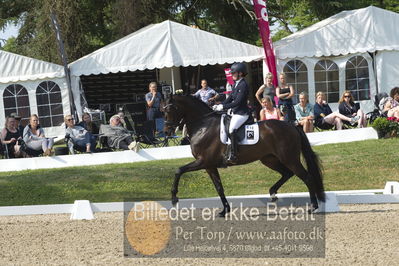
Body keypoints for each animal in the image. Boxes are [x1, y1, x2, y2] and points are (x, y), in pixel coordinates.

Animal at [164, 95, 326, 216]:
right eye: (162, 110)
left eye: (170, 109)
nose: (167, 132)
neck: (204, 125)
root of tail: (292, 125)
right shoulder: (209, 166)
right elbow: (219, 187)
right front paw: (225, 210)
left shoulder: (203, 161)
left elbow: (179, 170)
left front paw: (174, 198)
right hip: (269, 159)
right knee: (287, 173)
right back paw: (273, 193)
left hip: (289, 159)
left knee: (306, 177)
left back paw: (313, 207)